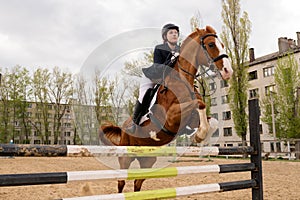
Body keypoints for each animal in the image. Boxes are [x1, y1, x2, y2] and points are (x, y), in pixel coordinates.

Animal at [99, 25, 233, 192]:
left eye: (222, 44)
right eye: (211, 45)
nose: (228, 71)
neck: (182, 79)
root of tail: (123, 127)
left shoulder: (189, 120)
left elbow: (211, 120)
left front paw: (200, 137)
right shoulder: (171, 118)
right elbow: (199, 103)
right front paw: (199, 136)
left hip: (148, 160)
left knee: (137, 183)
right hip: (126, 156)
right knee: (121, 182)